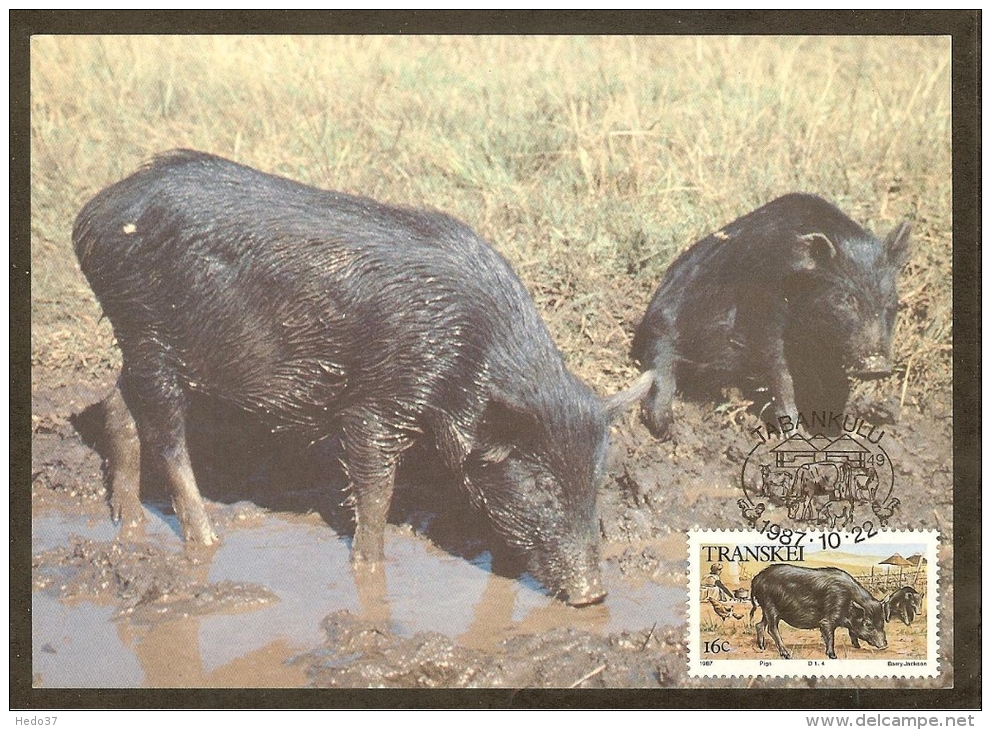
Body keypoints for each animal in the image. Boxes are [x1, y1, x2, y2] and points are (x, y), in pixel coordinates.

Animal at [77, 148, 652, 604]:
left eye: (598, 479)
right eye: (541, 485)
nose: (594, 595)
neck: (469, 354)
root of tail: (90, 216)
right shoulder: (377, 404)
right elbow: (376, 490)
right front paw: (370, 572)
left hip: (139, 342)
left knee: (118, 408)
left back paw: (128, 523)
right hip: (150, 337)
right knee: (168, 439)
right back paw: (207, 541)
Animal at [632, 191, 912, 438]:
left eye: (889, 302)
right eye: (847, 299)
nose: (878, 366)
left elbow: (833, 381)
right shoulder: (763, 313)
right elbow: (779, 371)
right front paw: (795, 433)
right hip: (664, 327)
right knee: (662, 367)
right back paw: (665, 428)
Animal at [752, 560, 892, 656]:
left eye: (882, 621)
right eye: (868, 624)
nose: (884, 646)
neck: (848, 601)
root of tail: (757, 579)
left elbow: (852, 632)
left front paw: (857, 647)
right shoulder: (827, 620)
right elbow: (830, 636)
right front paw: (833, 656)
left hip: (766, 609)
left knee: (759, 625)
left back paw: (762, 647)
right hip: (770, 607)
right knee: (772, 629)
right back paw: (786, 654)